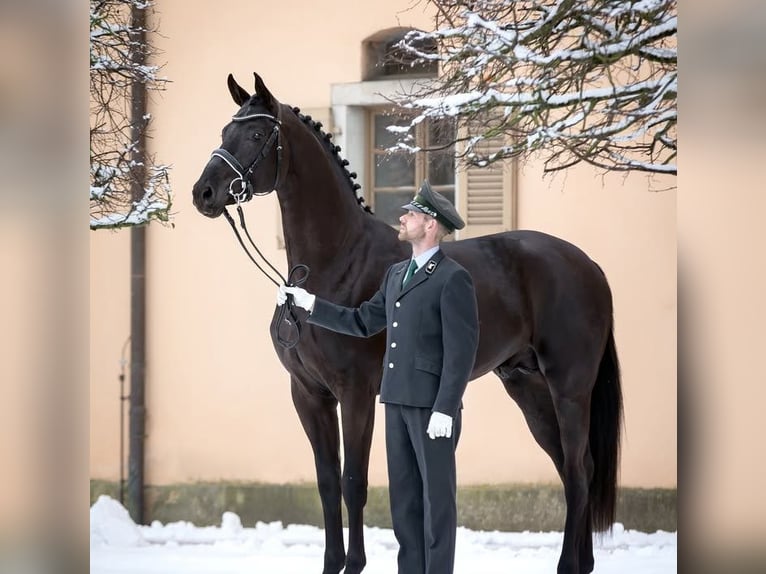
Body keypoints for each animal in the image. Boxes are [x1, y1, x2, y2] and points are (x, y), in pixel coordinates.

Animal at [192, 72, 623, 574]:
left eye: (258, 135)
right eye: (226, 131)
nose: (203, 193)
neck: (336, 261)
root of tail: (588, 265)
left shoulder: (356, 393)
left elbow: (353, 481)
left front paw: (354, 565)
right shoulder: (309, 395)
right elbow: (326, 484)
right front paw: (332, 565)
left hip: (569, 387)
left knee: (577, 467)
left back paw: (568, 564)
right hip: (528, 387)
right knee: (575, 467)